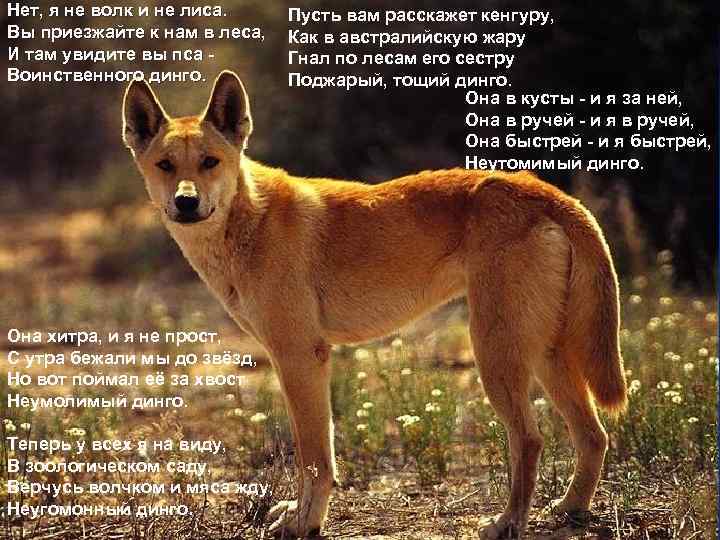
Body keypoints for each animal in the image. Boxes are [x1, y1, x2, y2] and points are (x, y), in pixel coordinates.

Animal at [122, 70, 627, 539]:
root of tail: (549, 194)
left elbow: (314, 458)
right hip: (544, 354)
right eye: (166, 165)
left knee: (531, 439)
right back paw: (570, 510)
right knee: (593, 435)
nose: (186, 203)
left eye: (210, 162)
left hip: (496, 352)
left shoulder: (300, 356)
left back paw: (508, 522)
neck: (249, 220)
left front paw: (306, 522)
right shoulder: (295, 359)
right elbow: (315, 453)